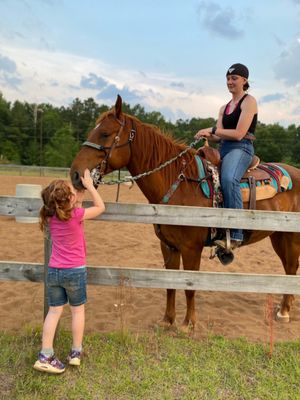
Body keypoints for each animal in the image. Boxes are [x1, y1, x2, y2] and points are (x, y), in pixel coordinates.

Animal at [71, 95, 300, 330]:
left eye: (105, 133)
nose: (76, 174)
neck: (180, 183)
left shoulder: (191, 248)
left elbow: (190, 286)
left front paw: (188, 324)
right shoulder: (168, 246)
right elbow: (170, 284)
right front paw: (167, 320)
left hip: (291, 237)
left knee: (292, 267)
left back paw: (283, 312)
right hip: (279, 236)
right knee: (289, 270)